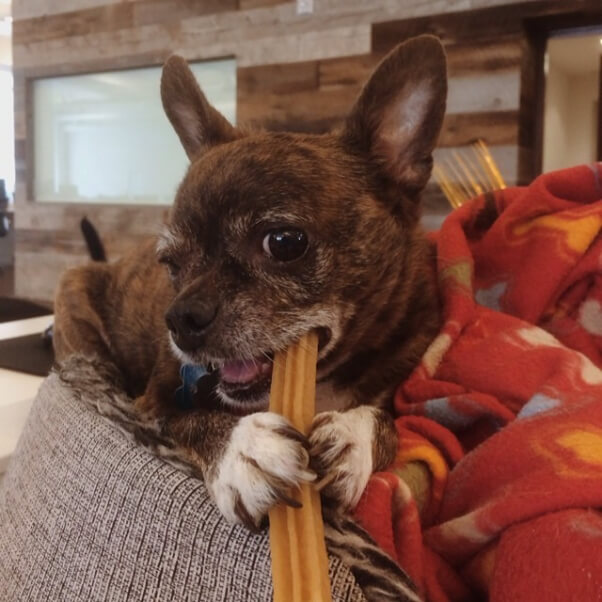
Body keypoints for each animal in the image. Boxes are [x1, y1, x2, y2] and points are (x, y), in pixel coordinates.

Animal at [52, 35, 446, 528]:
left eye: (284, 242)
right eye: (171, 264)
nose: (180, 318)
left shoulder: (398, 379)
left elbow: (387, 420)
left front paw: (353, 438)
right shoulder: (153, 404)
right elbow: (189, 420)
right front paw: (242, 451)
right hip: (75, 292)